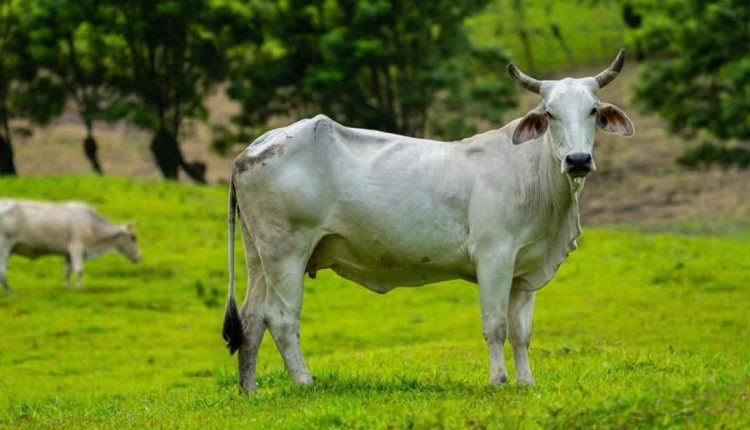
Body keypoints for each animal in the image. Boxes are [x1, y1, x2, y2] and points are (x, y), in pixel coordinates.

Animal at [0, 200, 142, 294]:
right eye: (133, 237)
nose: (140, 257)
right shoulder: (77, 248)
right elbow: (79, 270)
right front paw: (79, 288)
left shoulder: (67, 252)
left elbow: (67, 271)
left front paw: (68, 288)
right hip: (4, 246)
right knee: (2, 269)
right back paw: (9, 292)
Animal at [223, 48, 636, 392]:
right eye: (549, 114)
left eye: (593, 111)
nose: (578, 160)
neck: (532, 174)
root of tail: (256, 146)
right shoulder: (494, 257)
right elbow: (495, 324)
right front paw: (499, 381)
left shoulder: (525, 270)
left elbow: (521, 332)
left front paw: (526, 382)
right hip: (287, 253)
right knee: (280, 318)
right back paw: (305, 382)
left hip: (260, 256)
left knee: (252, 318)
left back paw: (249, 390)